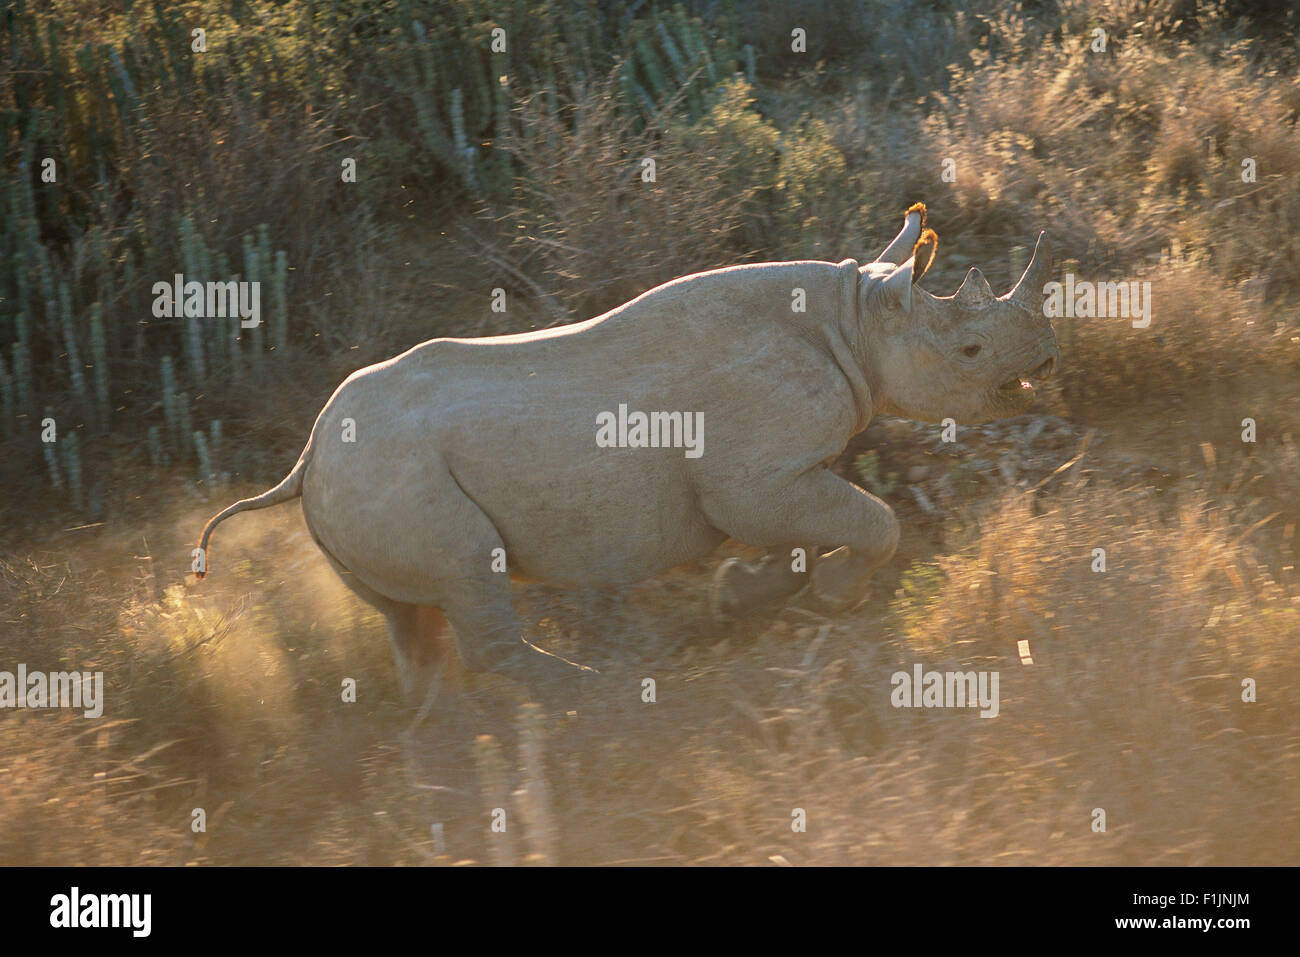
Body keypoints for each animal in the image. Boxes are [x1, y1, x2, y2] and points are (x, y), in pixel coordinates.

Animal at [200, 205, 1055, 696]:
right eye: (972, 350)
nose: (1045, 365)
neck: (858, 320)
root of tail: (307, 460)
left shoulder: (770, 478)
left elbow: (811, 532)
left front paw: (745, 595)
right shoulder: (754, 478)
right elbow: (875, 521)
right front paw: (830, 599)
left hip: (357, 487)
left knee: (411, 624)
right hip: (390, 477)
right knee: (467, 570)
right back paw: (606, 703)